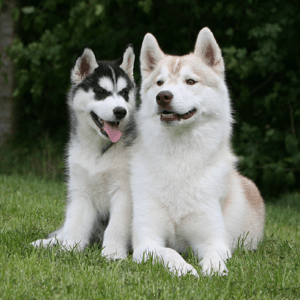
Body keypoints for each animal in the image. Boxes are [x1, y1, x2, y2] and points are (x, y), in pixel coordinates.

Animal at [31, 45, 136, 260]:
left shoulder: (124, 191)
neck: (98, 151)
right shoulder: (80, 189)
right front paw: (68, 250)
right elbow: (75, 224)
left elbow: (116, 226)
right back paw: (47, 243)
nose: (120, 111)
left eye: (124, 93)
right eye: (101, 92)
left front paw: (113, 254)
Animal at [131, 28, 264, 276]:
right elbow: (169, 252)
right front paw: (184, 269)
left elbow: (214, 257)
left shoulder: (214, 240)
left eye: (190, 81)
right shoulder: (146, 242)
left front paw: (214, 271)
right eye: (159, 82)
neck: (179, 162)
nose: (163, 96)